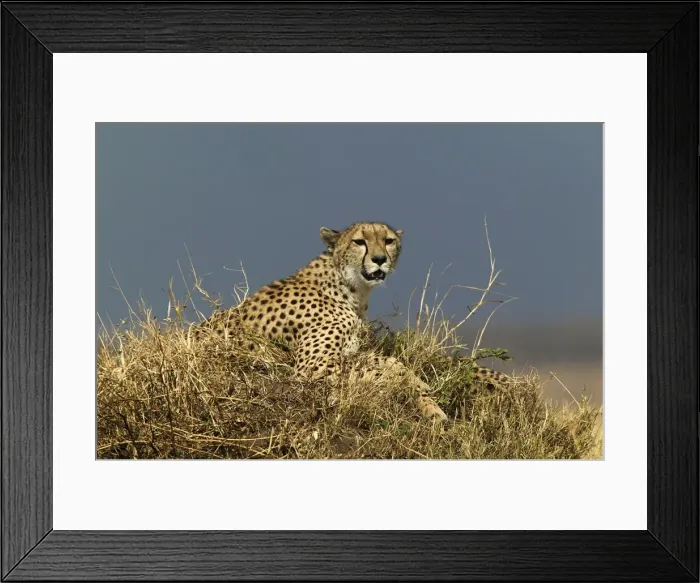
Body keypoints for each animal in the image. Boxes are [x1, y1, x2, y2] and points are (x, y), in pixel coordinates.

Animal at [193, 222, 510, 422]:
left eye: (388, 240)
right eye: (359, 241)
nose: (380, 259)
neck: (349, 288)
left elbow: (382, 360)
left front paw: (420, 389)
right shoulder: (314, 368)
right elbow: (381, 368)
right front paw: (420, 392)